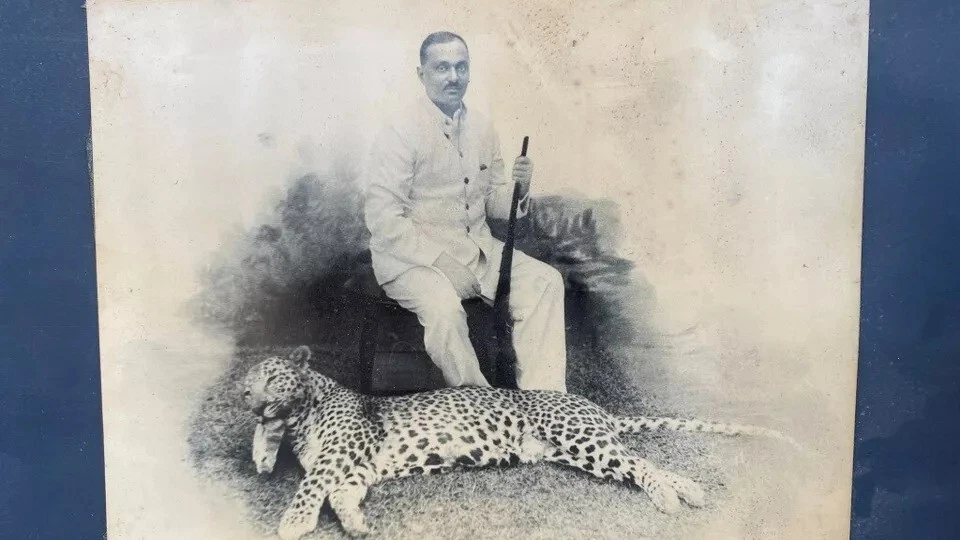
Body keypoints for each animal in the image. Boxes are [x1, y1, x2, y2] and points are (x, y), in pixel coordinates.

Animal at [242, 345, 798, 539]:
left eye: (270, 378)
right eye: (248, 383)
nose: (247, 398)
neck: (302, 414)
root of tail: (594, 407)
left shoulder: (340, 454)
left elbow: (309, 488)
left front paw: (293, 523)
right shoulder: (355, 466)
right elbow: (340, 494)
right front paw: (356, 522)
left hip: (580, 438)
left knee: (642, 466)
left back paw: (669, 497)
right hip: (580, 452)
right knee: (644, 462)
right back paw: (689, 490)